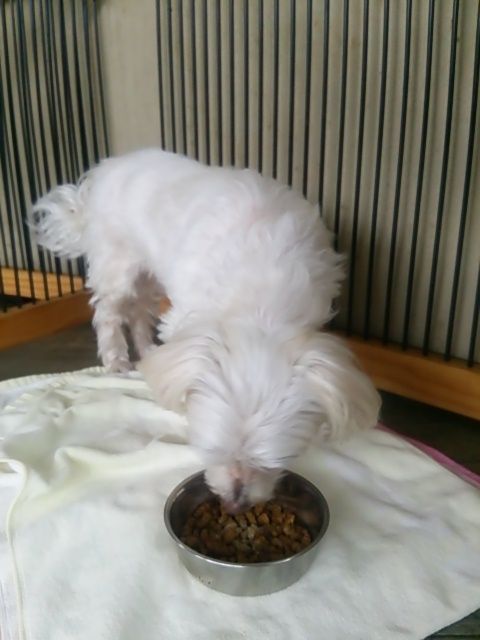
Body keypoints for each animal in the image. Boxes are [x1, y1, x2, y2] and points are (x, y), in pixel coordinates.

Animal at [31, 148, 380, 511]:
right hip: (119, 263)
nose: (236, 502)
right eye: (212, 452)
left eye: (271, 463)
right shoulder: (186, 320)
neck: (258, 303)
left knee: (140, 311)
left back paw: (147, 352)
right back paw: (117, 359)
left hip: (151, 274)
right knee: (108, 311)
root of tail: (105, 169)